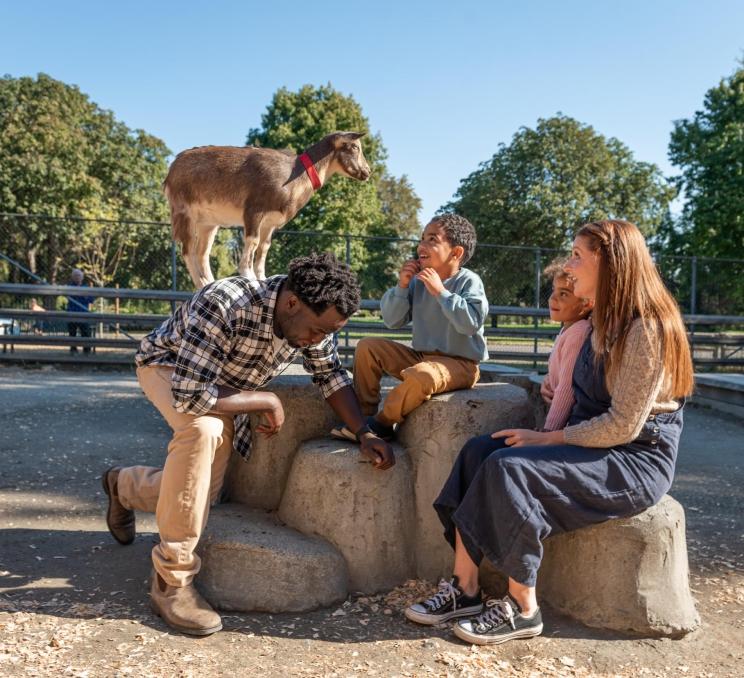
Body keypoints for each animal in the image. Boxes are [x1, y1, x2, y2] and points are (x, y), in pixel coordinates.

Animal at [163, 131, 371, 288]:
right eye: (355, 147)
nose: (367, 172)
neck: (296, 174)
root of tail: (170, 174)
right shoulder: (254, 211)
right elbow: (253, 242)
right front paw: (248, 276)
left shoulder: (270, 222)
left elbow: (264, 247)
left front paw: (262, 277)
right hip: (184, 213)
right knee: (188, 251)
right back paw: (203, 284)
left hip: (208, 223)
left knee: (202, 253)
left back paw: (211, 282)